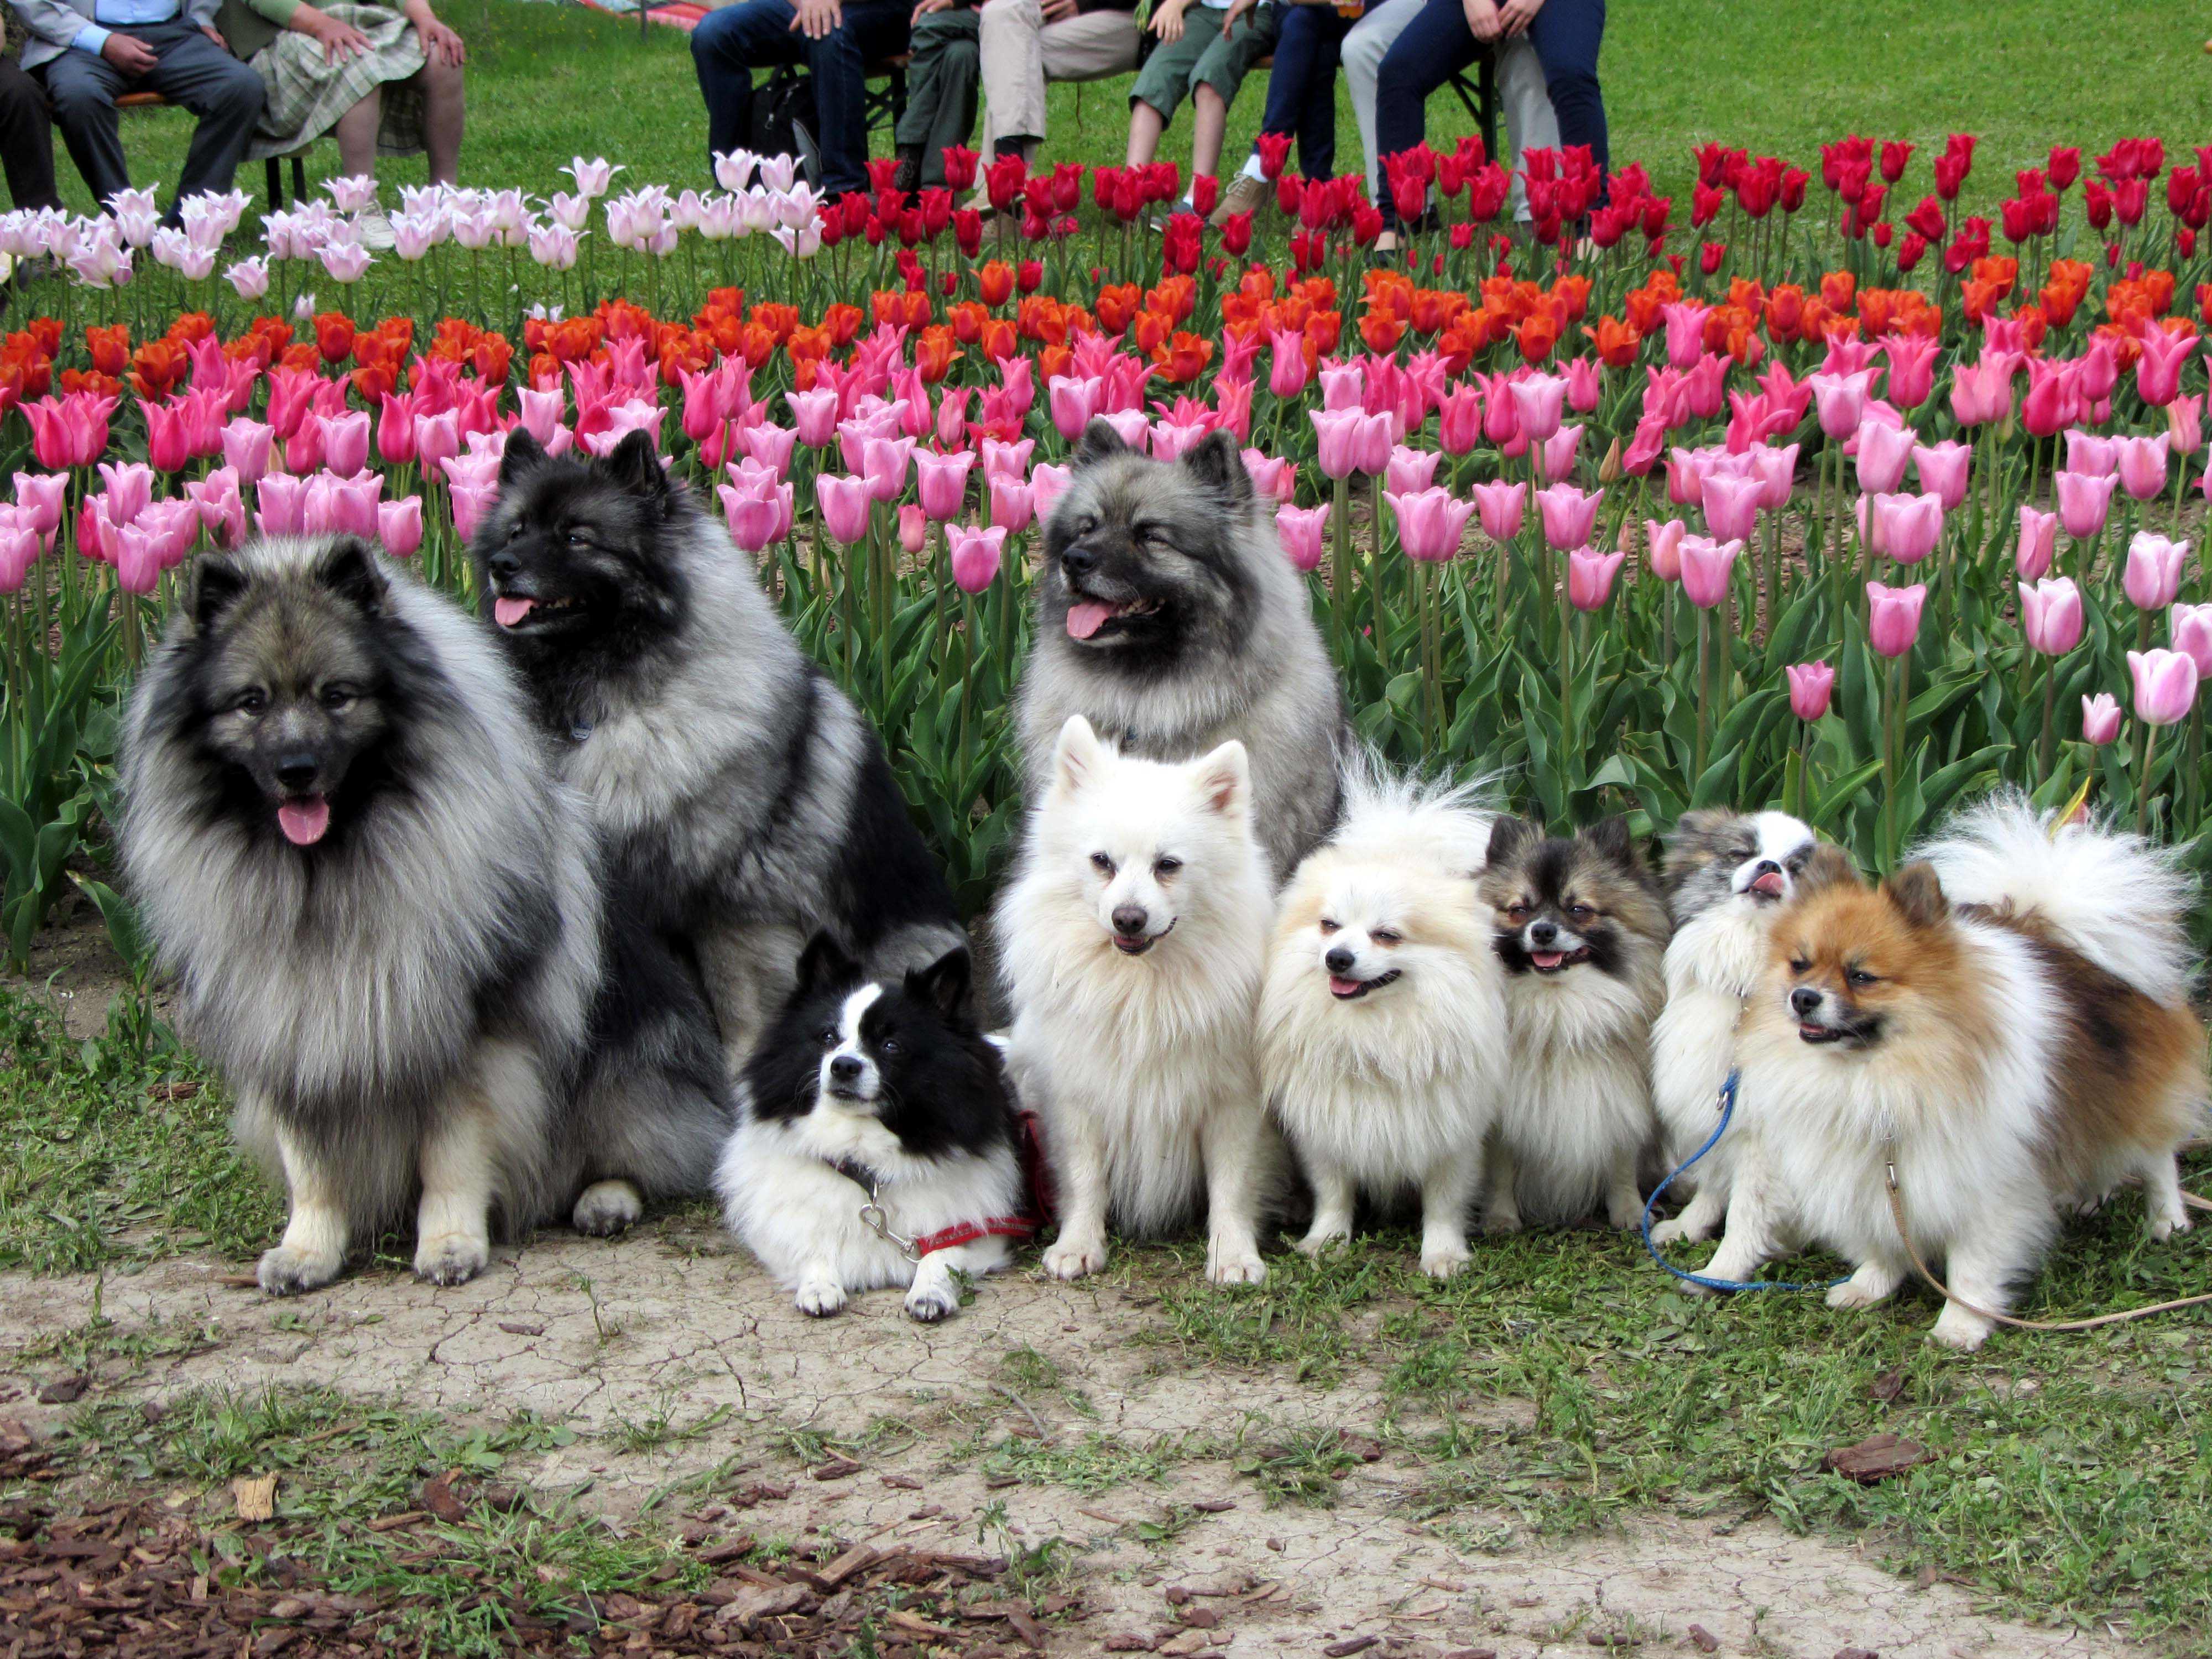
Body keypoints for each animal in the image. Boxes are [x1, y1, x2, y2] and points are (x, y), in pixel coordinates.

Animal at [121, 535, 734, 1301]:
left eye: (337, 695)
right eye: (252, 703)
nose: (297, 768)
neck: (326, 877)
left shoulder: (462, 1037)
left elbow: (452, 1156)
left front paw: (449, 1244)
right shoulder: (292, 1035)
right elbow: (311, 1166)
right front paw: (306, 1251)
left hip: (630, 1069)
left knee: (639, 1152)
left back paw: (605, 1199)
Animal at [476, 429, 960, 1079]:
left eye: (576, 537)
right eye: (515, 532)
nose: (502, 568)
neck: (598, 706)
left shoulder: (734, 915)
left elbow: (741, 1018)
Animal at [1000, 717, 1283, 1283]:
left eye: (1168, 865)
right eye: (1101, 862)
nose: (1127, 918)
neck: (1141, 988)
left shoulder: (1234, 1101)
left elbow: (1232, 1184)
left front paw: (1233, 1255)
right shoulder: (1077, 1097)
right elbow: (1084, 1178)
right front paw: (1078, 1245)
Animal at [1265, 774, 1504, 1283]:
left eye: (1387, 935)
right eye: (1329, 925)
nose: (1338, 957)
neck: (1378, 1033)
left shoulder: (1452, 1129)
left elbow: (1444, 1201)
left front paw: (1443, 1254)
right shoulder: (1327, 1126)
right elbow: (1333, 1191)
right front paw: (1326, 1241)